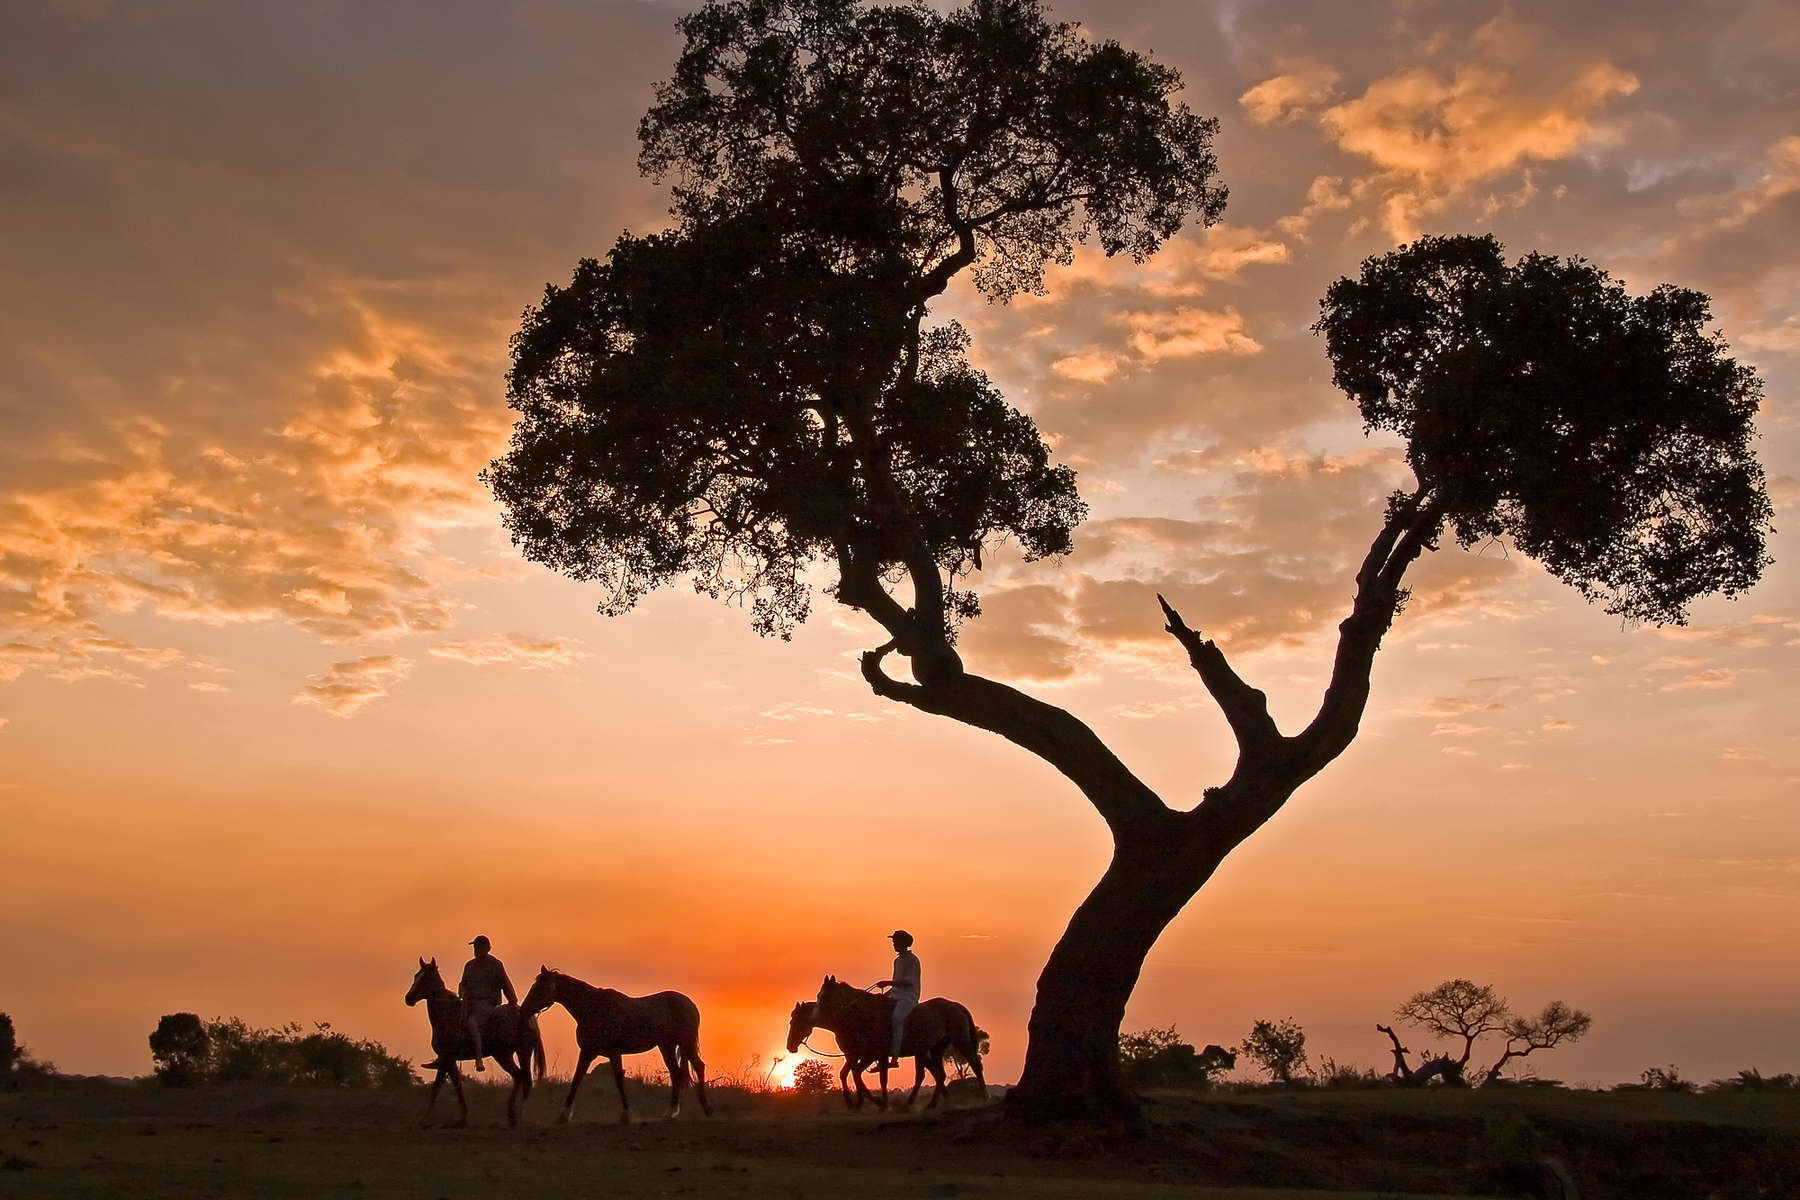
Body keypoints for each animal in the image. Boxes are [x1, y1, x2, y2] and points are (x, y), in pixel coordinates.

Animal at [405, 957, 543, 1129]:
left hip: (520, 1052)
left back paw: (518, 1117)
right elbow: (455, 1086)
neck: (448, 1017)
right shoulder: (447, 1061)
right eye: (416, 976)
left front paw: (425, 1120)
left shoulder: (447, 1059)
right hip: (505, 1055)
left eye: (426, 978)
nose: (408, 999)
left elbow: (438, 1087)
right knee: (518, 1077)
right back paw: (511, 1117)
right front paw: (461, 1119)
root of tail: (526, 1016)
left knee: (525, 1080)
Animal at [522, 964, 709, 1129]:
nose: (524, 1010)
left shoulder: (614, 1053)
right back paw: (670, 1113)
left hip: (686, 1044)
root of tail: (689, 1003)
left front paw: (625, 1115)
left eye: (540, 988)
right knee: (676, 1074)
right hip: (667, 1047)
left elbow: (619, 1081)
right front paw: (563, 1115)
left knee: (698, 1067)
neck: (593, 1010)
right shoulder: (587, 1052)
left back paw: (706, 1109)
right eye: (534, 986)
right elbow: (576, 1079)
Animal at [788, 971, 986, 1115]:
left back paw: (983, 1096)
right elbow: (850, 1074)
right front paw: (860, 1103)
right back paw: (928, 1103)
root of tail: (954, 1005)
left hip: (959, 1041)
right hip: (935, 1048)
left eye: (795, 1021)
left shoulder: (874, 1054)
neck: (857, 1017)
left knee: (974, 1065)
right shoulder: (858, 1055)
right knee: (936, 1074)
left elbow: (876, 1078)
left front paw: (879, 1103)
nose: (790, 1046)